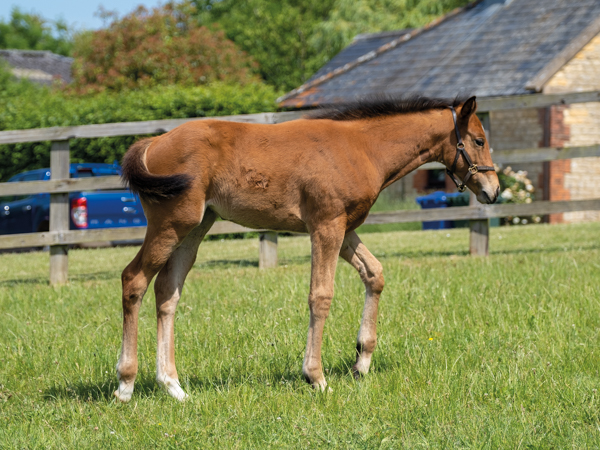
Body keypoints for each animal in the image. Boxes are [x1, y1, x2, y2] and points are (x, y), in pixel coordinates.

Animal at [115, 95, 500, 400]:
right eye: (479, 140)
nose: (494, 190)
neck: (362, 148)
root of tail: (152, 142)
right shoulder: (326, 227)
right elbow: (321, 296)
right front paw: (316, 377)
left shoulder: (344, 228)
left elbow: (374, 274)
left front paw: (362, 360)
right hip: (170, 225)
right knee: (134, 280)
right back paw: (125, 385)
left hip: (196, 228)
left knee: (167, 291)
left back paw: (173, 386)